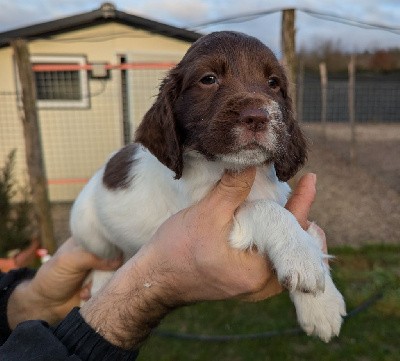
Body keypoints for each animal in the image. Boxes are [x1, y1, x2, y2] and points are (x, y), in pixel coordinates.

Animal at [70, 30, 346, 340]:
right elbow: (264, 209)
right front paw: (300, 256)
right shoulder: (208, 213)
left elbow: (307, 228)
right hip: (89, 232)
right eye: (208, 79)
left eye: (274, 83)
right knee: (102, 261)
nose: (258, 117)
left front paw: (322, 305)